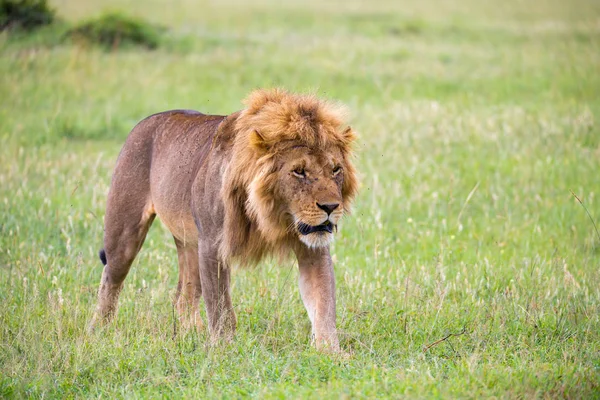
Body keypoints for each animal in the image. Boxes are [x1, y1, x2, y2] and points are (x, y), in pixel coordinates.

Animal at [90, 87, 356, 350]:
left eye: (335, 169)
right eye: (299, 171)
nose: (331, 206)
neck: (271, 212)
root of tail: (147, 121)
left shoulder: (313, 250)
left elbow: (323, 302)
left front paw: (331, 352)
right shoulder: (213, 245)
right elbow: (221, 307)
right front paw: (224, 349)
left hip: (191, 245)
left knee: (183, 297)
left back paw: (192, 334)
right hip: (124, 233)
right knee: (110, 280)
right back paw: (99, 332)